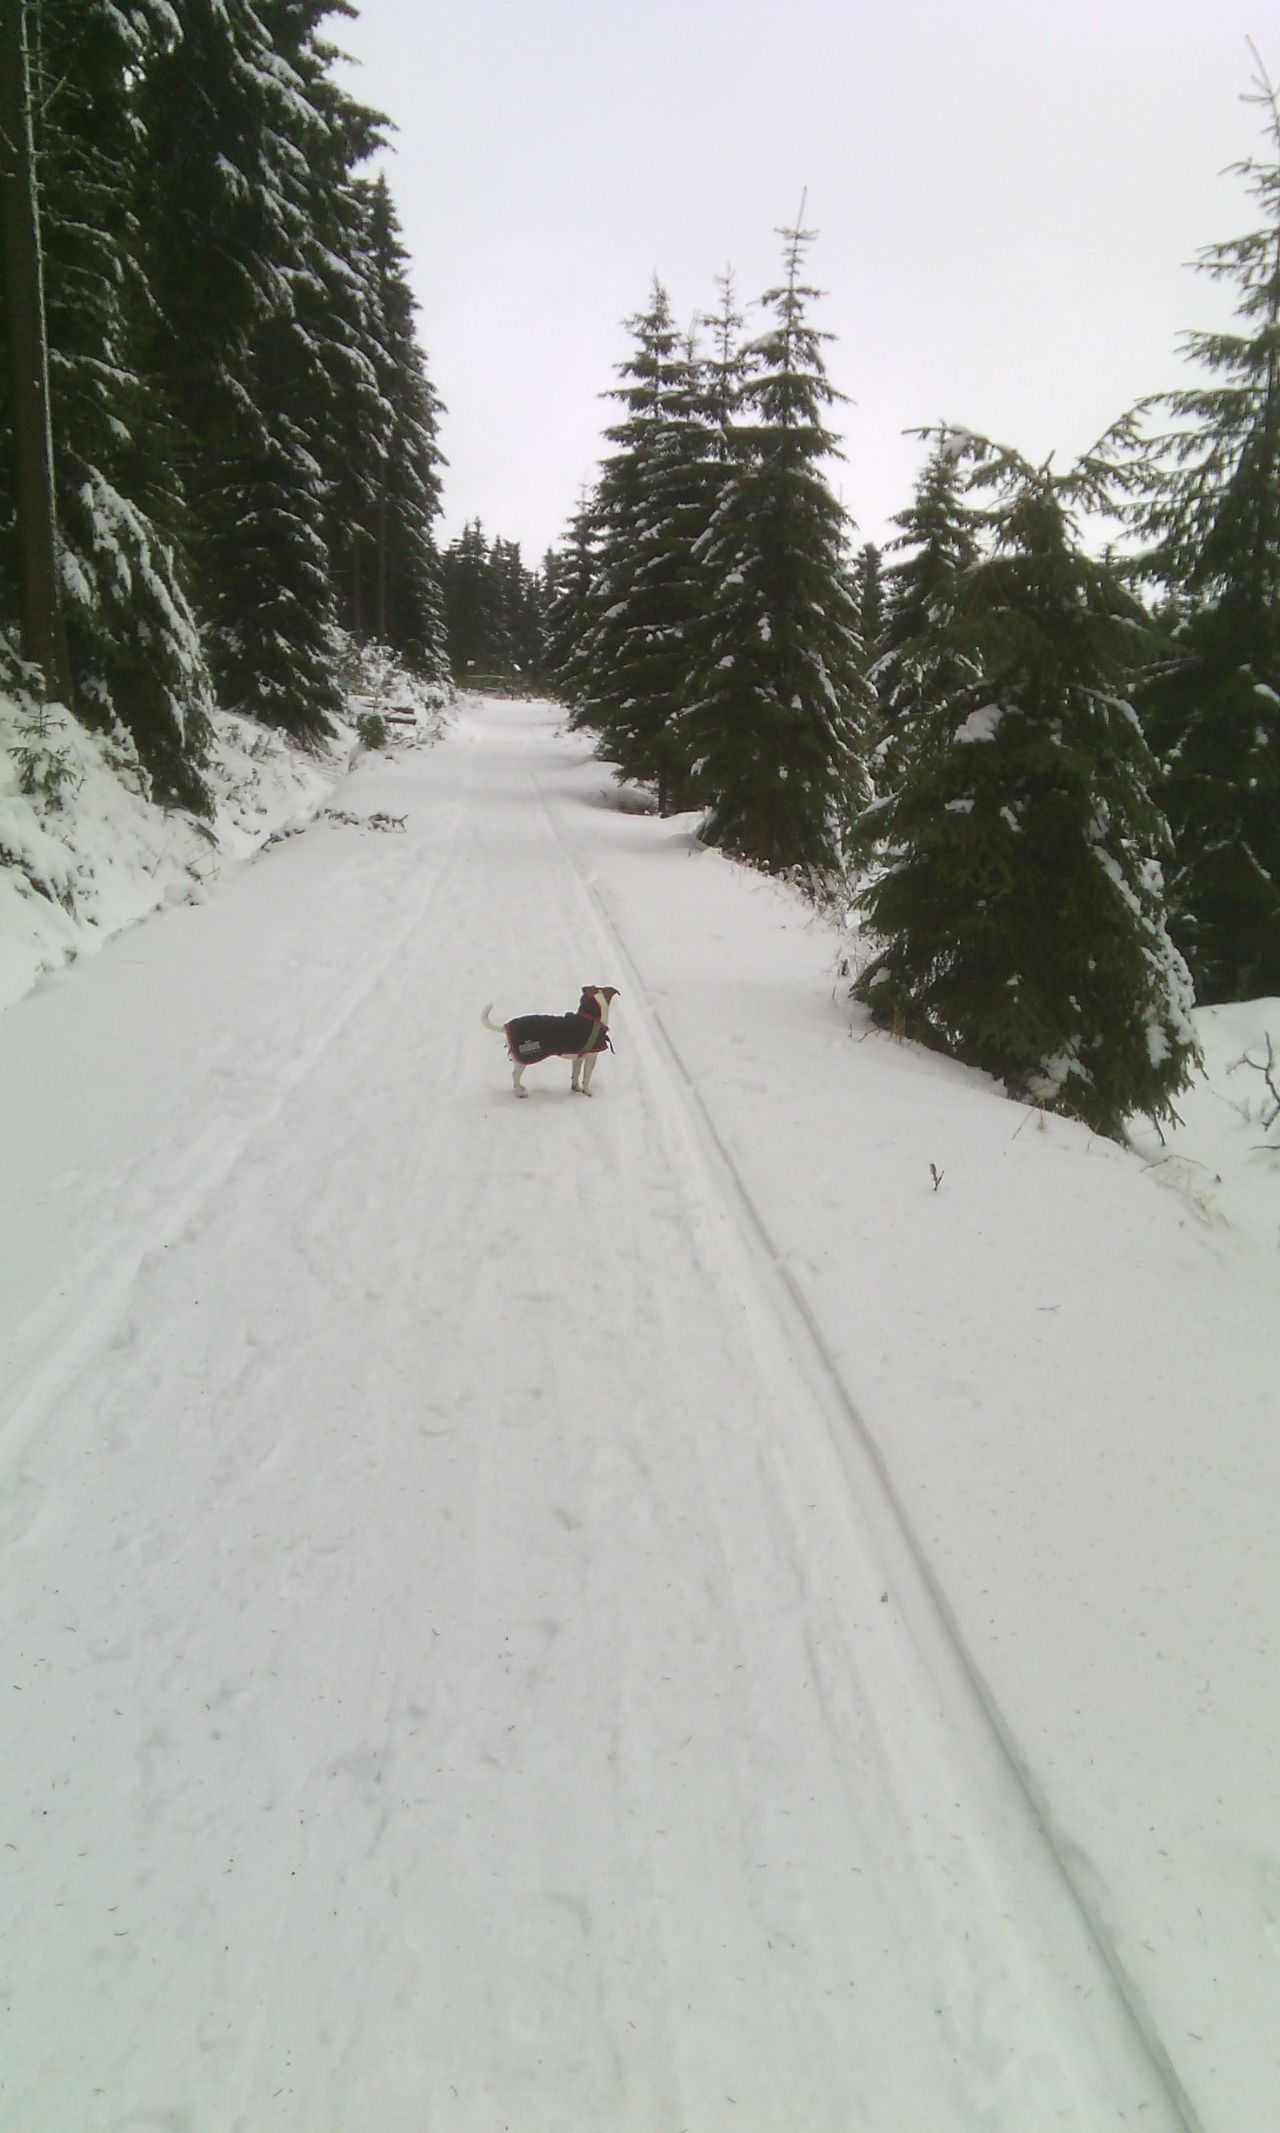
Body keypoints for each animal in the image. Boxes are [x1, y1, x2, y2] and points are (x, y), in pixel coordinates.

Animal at [482, 986, 619, 1098]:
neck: (592, 1017)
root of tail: (506, 1026)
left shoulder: (578, 1059)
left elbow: (576, 1074)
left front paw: (576, 1088)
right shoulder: (591, 1057)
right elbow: (587, 1076)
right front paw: (587, 1091)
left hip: (519, 1060)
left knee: (515, 1075)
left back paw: (519, 1087)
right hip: (524, 1059)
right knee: (514, 1075)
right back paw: (519, 1093)